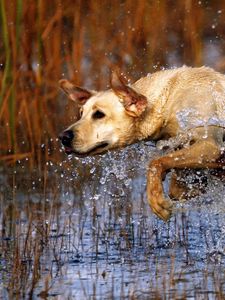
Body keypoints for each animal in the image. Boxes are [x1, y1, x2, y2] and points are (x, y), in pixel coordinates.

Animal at [58, 66, 225, 220]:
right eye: (81, 113)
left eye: (99, 114)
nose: (63, 137)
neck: (166, 102)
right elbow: (176, 186)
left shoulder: (210, 144)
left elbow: (155, 163)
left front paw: (156, 200)